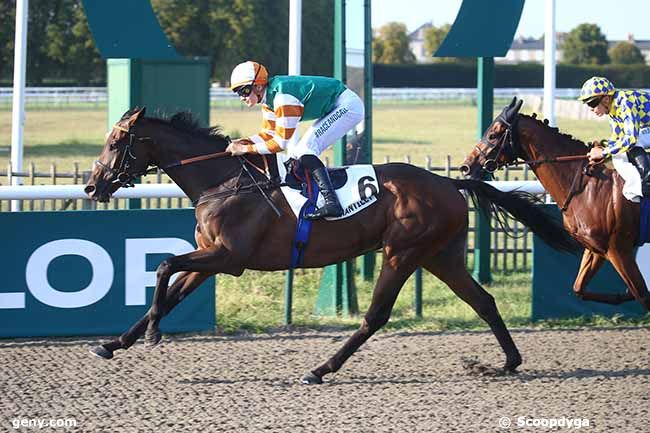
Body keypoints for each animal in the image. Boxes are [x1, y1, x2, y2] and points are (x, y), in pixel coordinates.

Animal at [83, 106, 576, 384]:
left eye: (116, 142)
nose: (92, 186)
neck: (223, 181)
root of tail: (451, 183)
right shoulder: (212, 260)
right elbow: (168, 291)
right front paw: (114, 343)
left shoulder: (228, 257)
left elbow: (164, 265)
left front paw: (151, 335)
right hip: (441, 256)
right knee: (484, 301)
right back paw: (507, 363)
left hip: (402, 252)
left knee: (376, 317)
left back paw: (321, 369)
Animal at [458, 97, 648, 312]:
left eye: (493, 134)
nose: (466, 166)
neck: (588, 184)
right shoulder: (597, 249)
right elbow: (579, 289)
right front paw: (621, 296)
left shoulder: (619, 250)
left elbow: (643, 295)